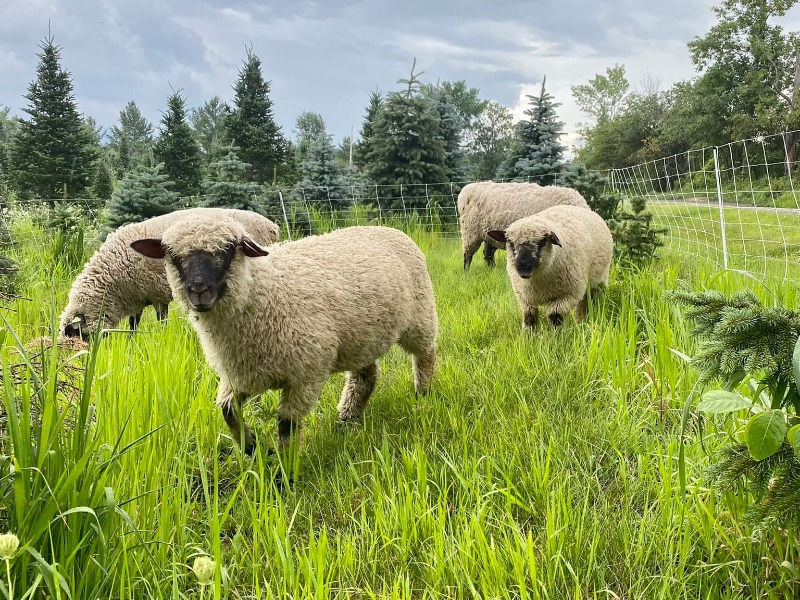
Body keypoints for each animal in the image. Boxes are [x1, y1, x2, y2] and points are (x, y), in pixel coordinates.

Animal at [60, 208, 280, 341]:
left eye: (78, 335)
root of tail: (272, 226)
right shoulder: (137, 296)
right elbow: (133, 324)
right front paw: (131, 343)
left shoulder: (157, 294)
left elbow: (161, 321)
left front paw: (162, 340)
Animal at [129, 220, 438, 459]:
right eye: (172, 255)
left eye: (228, 250)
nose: (198, 291)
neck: (261, 290)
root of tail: (387, 227)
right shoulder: (243, 374)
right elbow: (228, 410)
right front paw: (253, 448)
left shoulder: (306, 375)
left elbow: (287, 425)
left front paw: (285, 472)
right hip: (361, 338)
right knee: (365, 376)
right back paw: (347, 420)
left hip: (420, 317)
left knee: (426, 354)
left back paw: (422, 394)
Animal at [457, 182, 589, 270]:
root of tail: (466, 189)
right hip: (470, 231)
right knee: (468, 254)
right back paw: (467, 272)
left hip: (489, 233)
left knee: (488, 253)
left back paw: (492, 269)